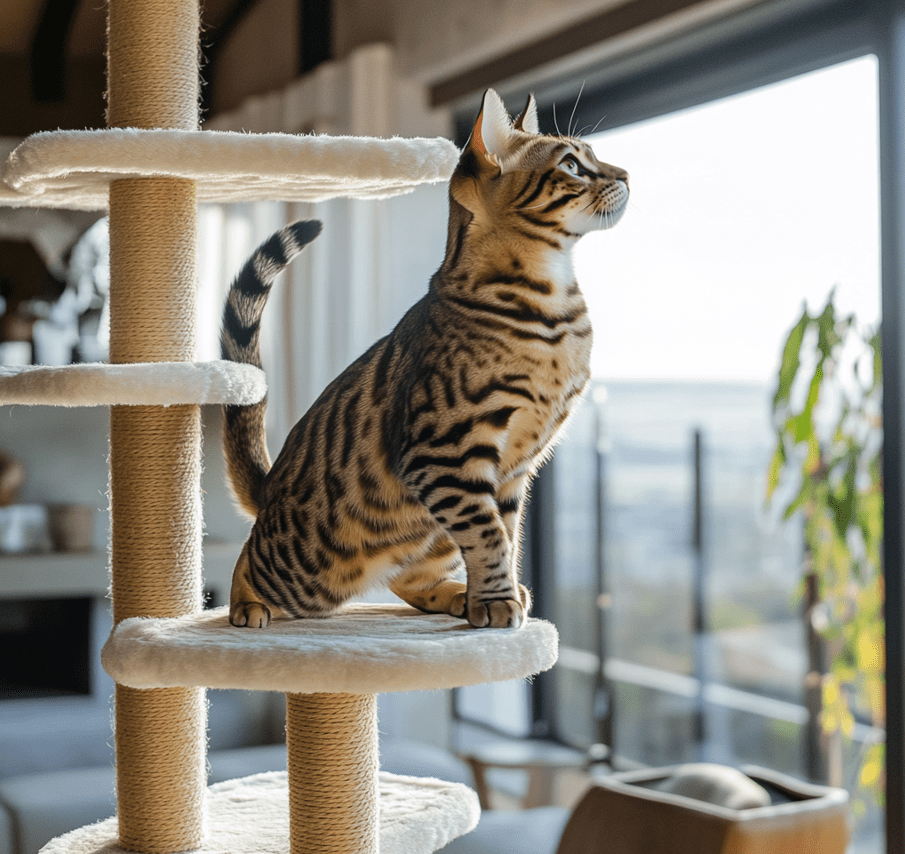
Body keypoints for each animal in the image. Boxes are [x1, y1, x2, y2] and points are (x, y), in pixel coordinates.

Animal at [221, 90, 628, 632]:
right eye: (571, 165)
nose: (627, 175)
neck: (555, 306)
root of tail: (269, 490)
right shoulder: (444, 450)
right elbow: (488, 535)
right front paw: (496, 601)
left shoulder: (511, 471)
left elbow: (506, 534)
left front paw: (494, 598)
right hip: (308, 570)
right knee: (249, 556)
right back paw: (245, 604)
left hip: (427, 534)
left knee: (408, 577)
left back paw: (457, 596)